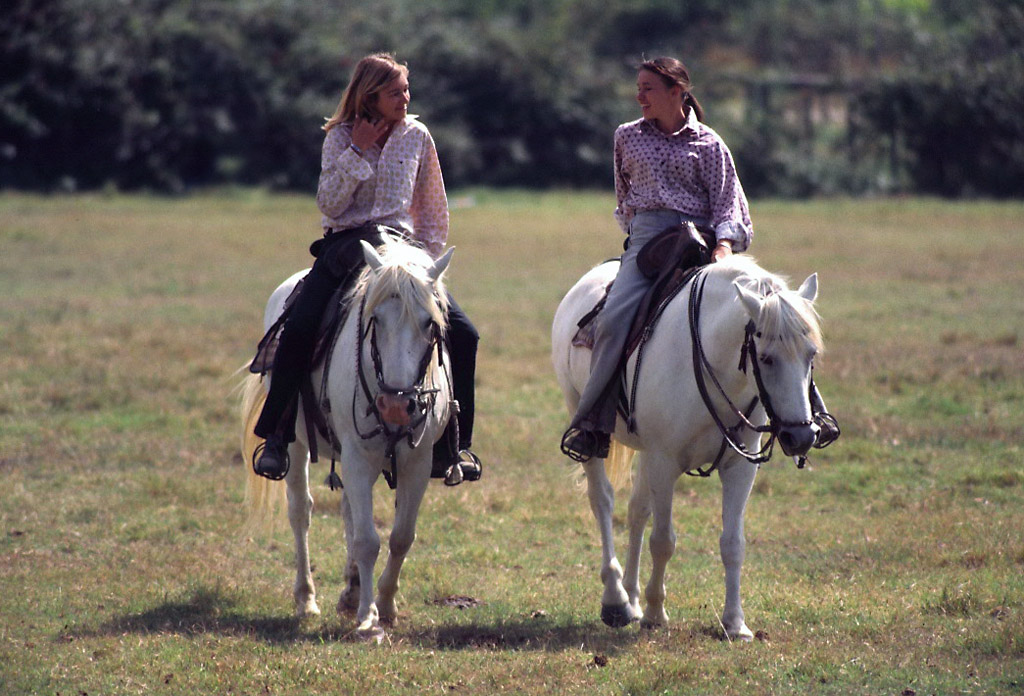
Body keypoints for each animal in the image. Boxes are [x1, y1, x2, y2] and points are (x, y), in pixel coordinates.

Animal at [239, 237, 455, 638]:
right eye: (375, 319)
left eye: (429, 323)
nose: (396, 406)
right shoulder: (356, 456)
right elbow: (368, 540)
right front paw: (369, 619)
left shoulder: (418, 462)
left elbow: (401, 535)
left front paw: (385, 604)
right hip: (296, 444)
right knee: (301, 512)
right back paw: (307, 600)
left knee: (348, 511)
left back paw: (352, 590)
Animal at [551, 254, 824, 640]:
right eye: (767, 358)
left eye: (811, 354)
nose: (801, 436)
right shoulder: (665, 462)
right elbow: (663, 540)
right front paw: (655, 613)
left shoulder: (740, 466)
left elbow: (733, 543)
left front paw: (735, 623)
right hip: (584, 420)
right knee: (603, 501)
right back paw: (616, 599)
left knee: (636, 511)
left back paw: (631, 598)